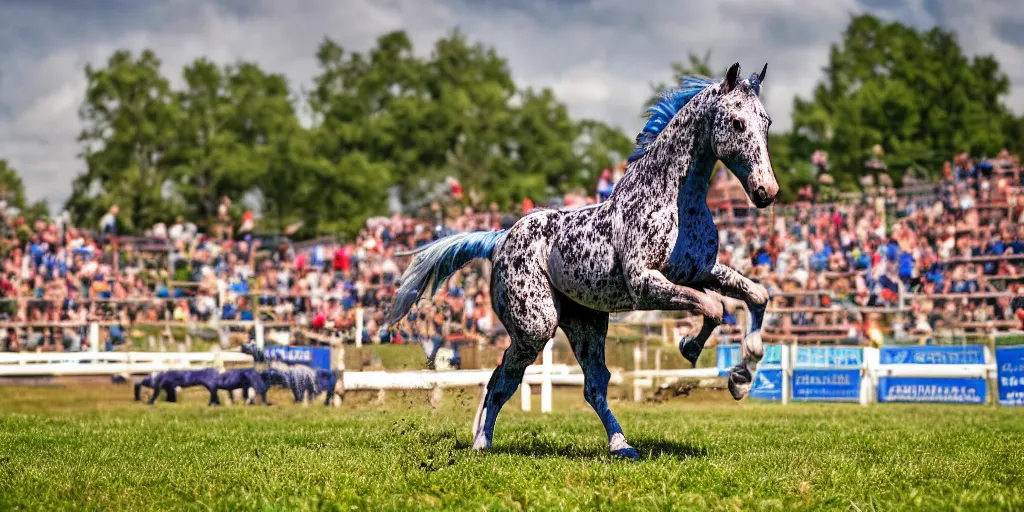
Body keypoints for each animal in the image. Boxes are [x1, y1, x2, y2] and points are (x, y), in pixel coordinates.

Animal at [385, 62, 774, 460]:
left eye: (766, 122)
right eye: (737, 122)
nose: (766, 192)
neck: (671, 199)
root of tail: (499, 239)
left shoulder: (698, 272)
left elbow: (756, 296)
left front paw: (743, 376)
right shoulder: (647, 284)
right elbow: (714, 307)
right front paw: (692, 349)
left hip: (585, 324)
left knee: (591, 385)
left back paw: (621, 445)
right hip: (536, 327)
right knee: (502, 379)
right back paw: (482, 443)